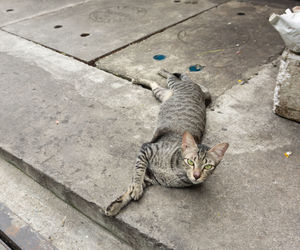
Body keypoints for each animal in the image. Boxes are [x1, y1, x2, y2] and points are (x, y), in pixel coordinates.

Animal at [105, 69, 227, 216]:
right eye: (190, 162)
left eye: (208, 166)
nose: (197, 175)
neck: (176, 172)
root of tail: (201, 95)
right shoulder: (147, 148)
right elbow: (138, 171)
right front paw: (135, 188)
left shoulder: (150, 177)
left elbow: (131, 187)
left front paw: (117, 204)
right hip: (174, 84)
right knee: (176, 76)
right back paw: (160, 72)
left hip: (161, 93)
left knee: (156, 83)